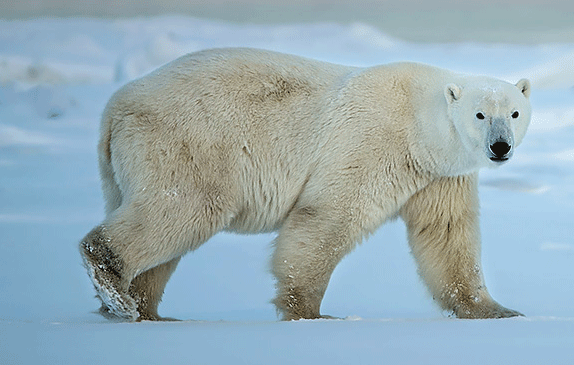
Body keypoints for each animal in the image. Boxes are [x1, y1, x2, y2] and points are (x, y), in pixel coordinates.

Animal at [79, 47, 532, 318]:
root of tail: (113, 109)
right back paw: (116, 287)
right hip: (187, 144)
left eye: (513, 113)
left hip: (128, 165)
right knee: (183, 208)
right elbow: (328, 215)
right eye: (479, 114)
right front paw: (310, 313)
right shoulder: (370, 140)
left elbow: (446, 235)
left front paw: (498, 311)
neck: (419, 121)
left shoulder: (440, 175)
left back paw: (145, 310)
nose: (500, 147)